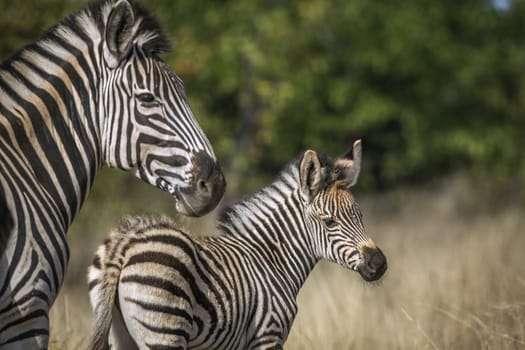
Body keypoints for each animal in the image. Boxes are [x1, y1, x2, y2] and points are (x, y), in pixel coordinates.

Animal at [88, 140, 386, 350]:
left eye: (360, 216)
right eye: (329, 222)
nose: (379, 264)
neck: (272, 259)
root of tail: (125, 243)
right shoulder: (267, 334)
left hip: (121, 334)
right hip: (165, 328)